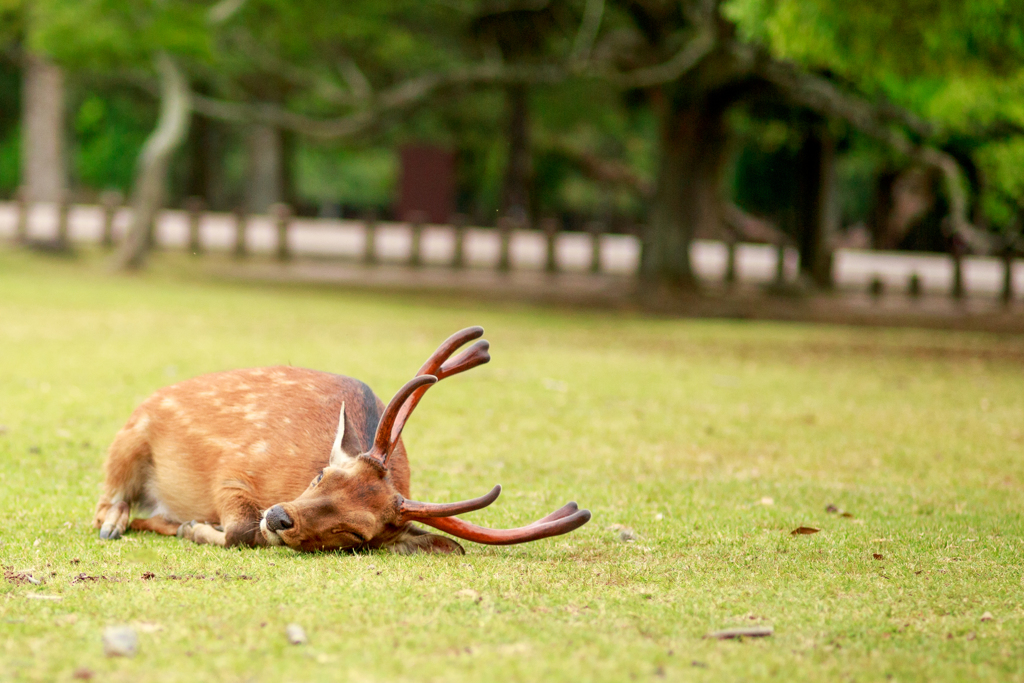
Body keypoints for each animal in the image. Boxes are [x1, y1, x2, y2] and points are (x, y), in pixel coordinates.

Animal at [97, 325, 593, 557]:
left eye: (355, 534)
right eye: (322, 473)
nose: (279, 517)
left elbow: (243, 532)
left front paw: (192, 528)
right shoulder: (235, 463)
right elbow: (240, 527)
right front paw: (195, 527)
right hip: (129, 438)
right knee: (108, 501)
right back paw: (117, 522)